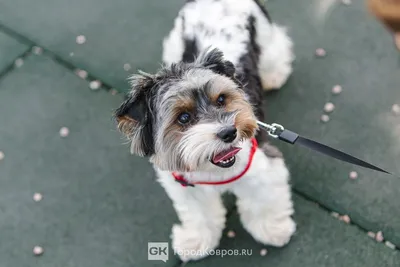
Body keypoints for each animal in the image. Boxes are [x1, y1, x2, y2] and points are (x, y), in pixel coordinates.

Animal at [114, 0, 296, 264]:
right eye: (183, 118)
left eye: (221, 99)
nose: (229, 132)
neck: (212, 168)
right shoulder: (186, 187)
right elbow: (198, 215)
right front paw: (196, 242)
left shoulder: (262, 166)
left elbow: (264, 200)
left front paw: (273, 229)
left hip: (264, 32)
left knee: (275, 49)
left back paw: (274, 75)